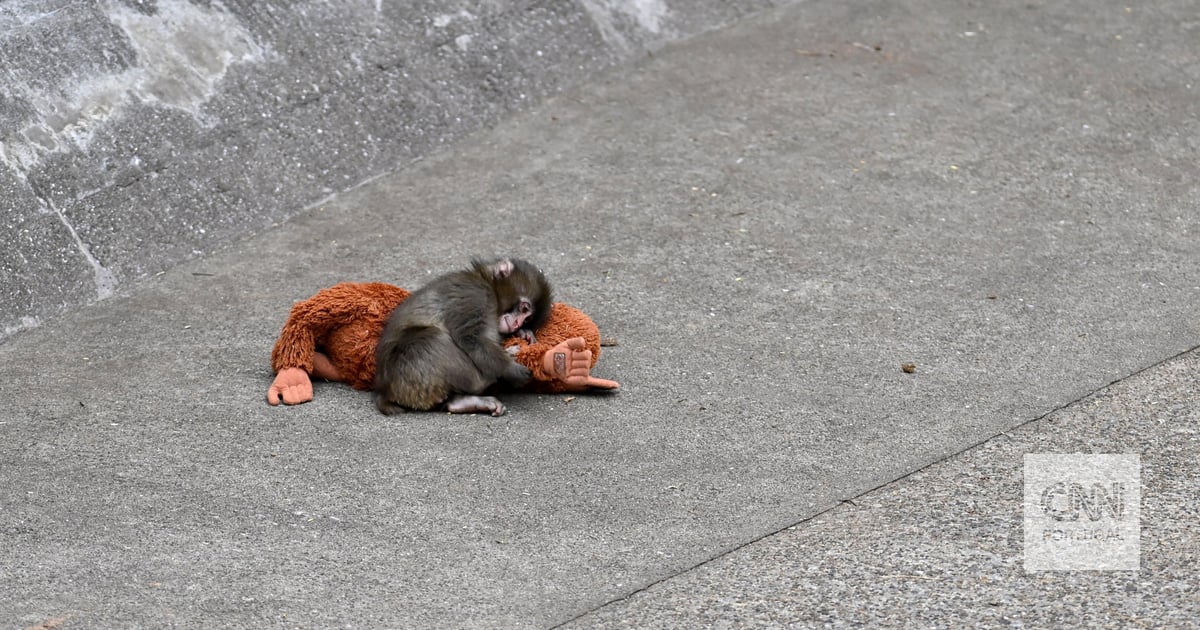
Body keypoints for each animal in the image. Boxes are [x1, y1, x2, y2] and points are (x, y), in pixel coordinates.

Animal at [373, 257, 552, 416]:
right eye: (524, 309)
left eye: (527, 319)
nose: (517, 324)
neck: (487, 283)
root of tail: (385, 391)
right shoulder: (475, 294)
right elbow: (470, 338)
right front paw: (510, 369)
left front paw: (524, 333)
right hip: (408, 372)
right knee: (433, 338)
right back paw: (487, 379)